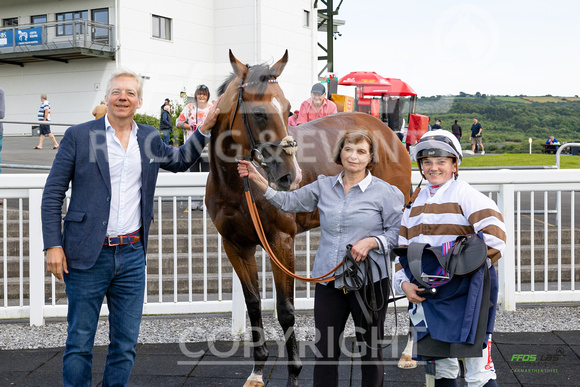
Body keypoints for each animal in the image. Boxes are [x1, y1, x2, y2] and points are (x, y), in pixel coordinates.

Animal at [206, 50, 410, 386]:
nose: (291, 175)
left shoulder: (280, 241)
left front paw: (293, 374)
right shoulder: (235, 246)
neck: (238, 187)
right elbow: (253, 304)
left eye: (288, 108)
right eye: (259, 113)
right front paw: (257, 371)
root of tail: (386, 131)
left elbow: (285, 309)